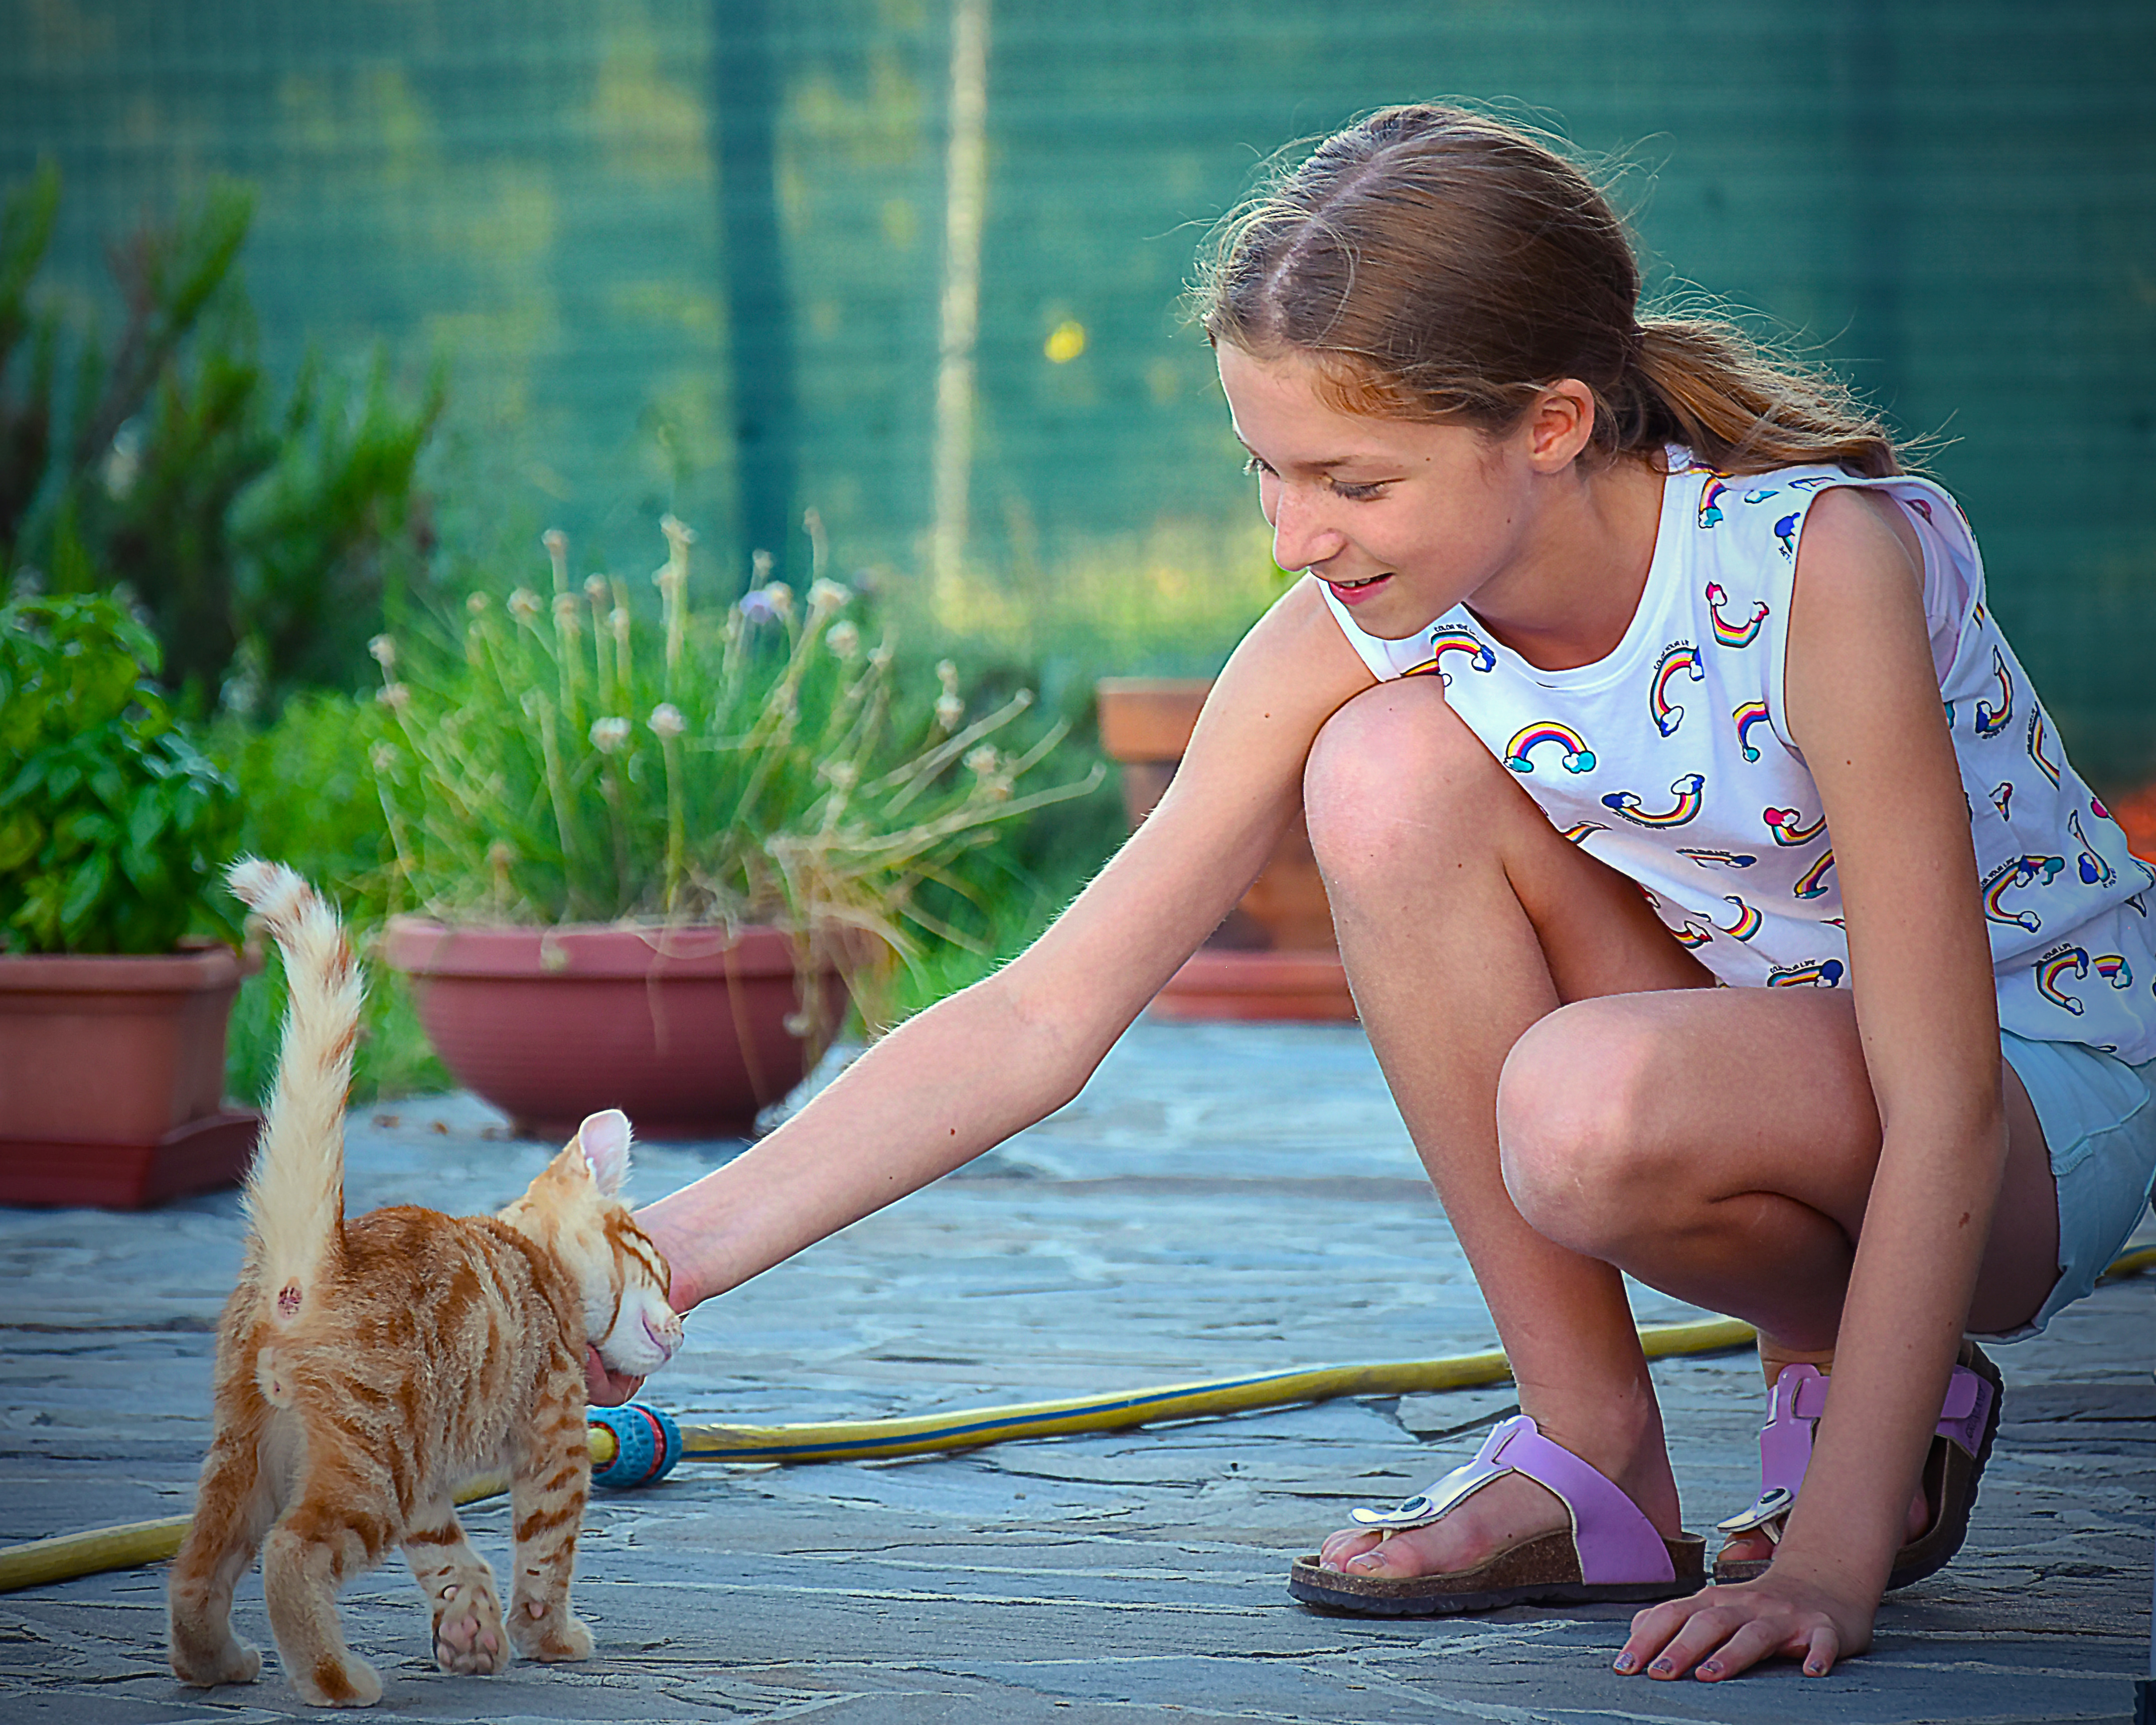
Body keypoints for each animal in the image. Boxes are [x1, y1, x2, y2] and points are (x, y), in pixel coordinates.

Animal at [168, 862, 681, 1708]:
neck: (532, 1262)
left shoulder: (431, 1481)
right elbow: (547, 1555)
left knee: (197, 1566)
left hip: (255, 1453)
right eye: (660, 1269)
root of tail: (314, 1259)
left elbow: (450, 1554)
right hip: (371, 1467)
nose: (680, 1326)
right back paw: (333, 1677)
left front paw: (472, 1629)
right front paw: (548, 1636)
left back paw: (215, 1663)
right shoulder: (554, 1443)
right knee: (291, 1552)